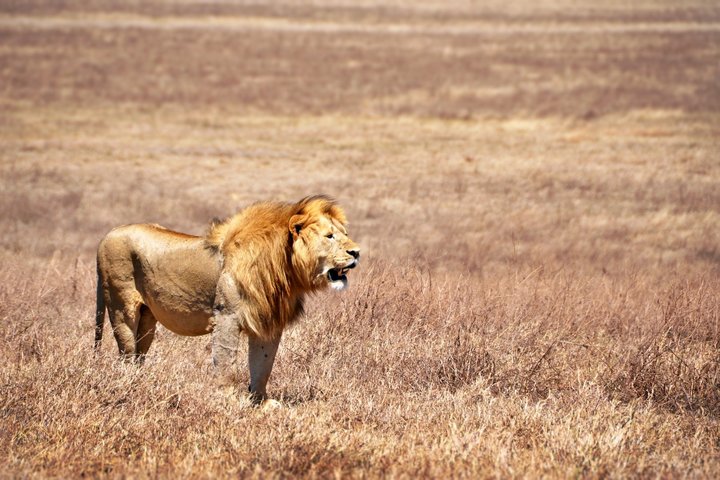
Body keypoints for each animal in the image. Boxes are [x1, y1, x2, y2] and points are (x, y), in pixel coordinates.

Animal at [94, 195, 359, 405]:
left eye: (345, 234)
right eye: (329, 236)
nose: (356, 252)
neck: (284, 268)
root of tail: (106, 236)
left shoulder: (268, 320)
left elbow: (263, 366)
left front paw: (261, 402)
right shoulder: (227, 316)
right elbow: (225, 361)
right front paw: (228, 399)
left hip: (148, 318)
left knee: (139, 352)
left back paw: (142, 381)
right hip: (122, 307)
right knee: (126, 352)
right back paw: (129, 384)